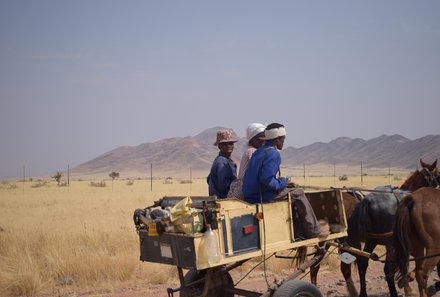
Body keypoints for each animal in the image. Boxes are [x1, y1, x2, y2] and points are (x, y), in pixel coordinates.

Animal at [392, 164, 440, 296]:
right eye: (436, 174)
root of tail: (412, 199)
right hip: (434, 249)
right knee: (422, 274)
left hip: (417, 247)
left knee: (417, 273)